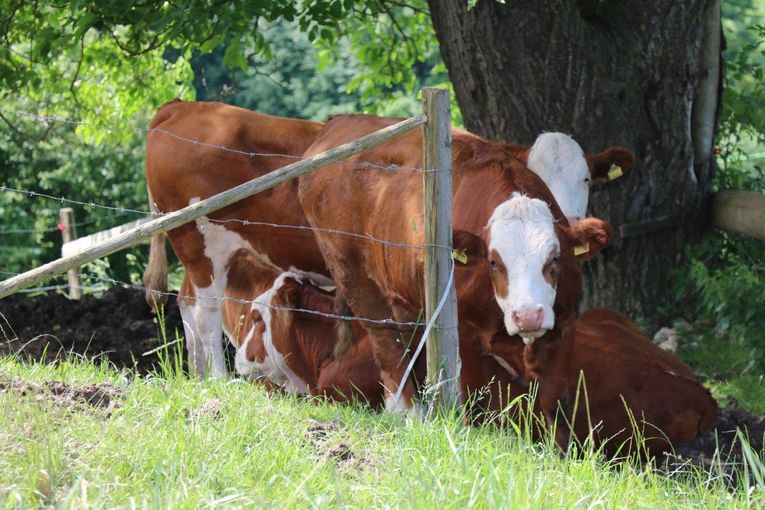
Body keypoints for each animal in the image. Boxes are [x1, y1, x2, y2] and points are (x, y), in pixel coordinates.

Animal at [296, 112, 612, 446]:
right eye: (493, 261)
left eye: (554, 259)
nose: (528, 316)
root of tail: (339, 122)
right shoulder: (464, 331)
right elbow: (476, 399)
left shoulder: (564, 324)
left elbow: (555, 402)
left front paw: (558, 450)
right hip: (351, 272)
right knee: (385, 341)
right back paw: (407, 412)